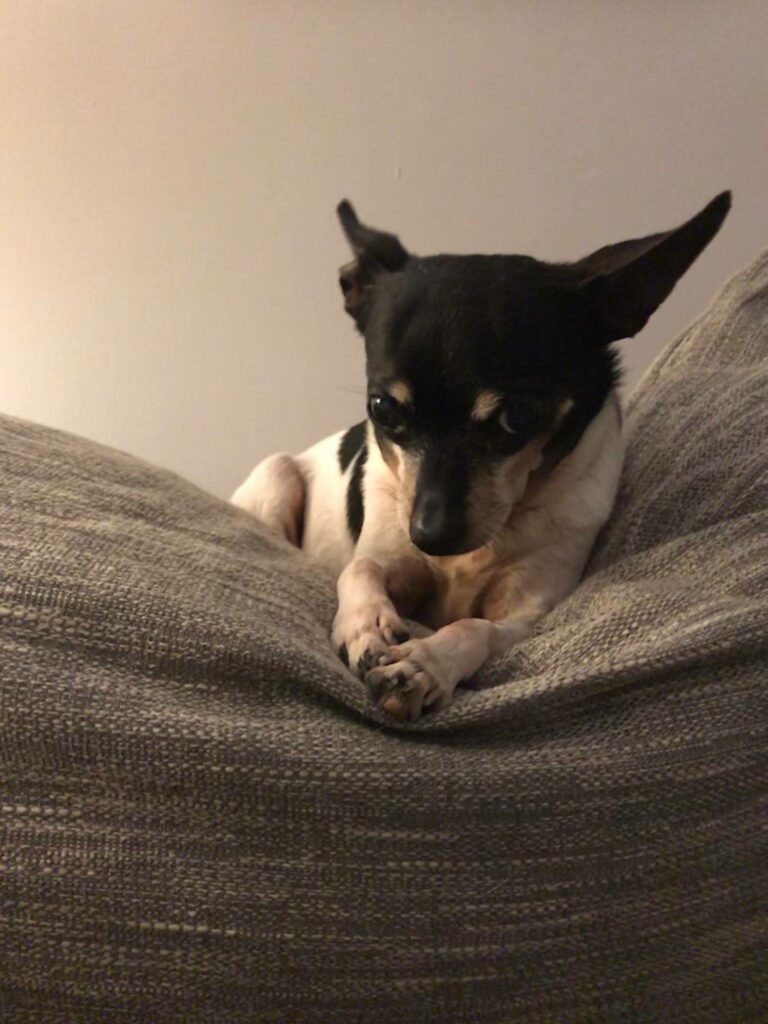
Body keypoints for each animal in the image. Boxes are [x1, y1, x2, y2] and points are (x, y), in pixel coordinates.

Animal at [234, 192, 733, 720]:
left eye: (519, 416)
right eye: (381, 408)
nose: (430, 536)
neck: (473, 554)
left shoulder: (526, 614)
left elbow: (474, 628)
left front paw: (425, 663)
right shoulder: (394, 559)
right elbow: (361, 567)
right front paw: (365, 625)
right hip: (277, 474)